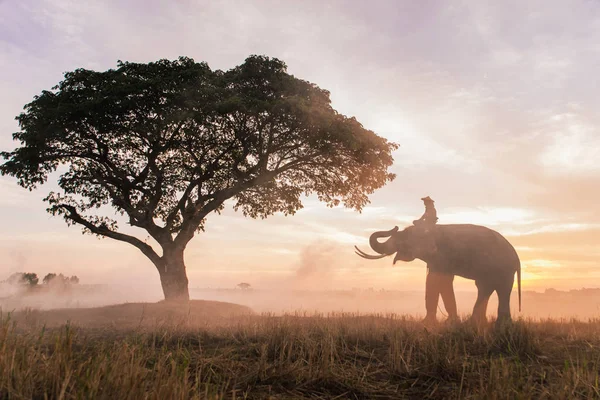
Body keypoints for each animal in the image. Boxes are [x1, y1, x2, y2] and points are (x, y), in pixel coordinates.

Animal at [356, 223, 520, 324]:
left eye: (402, 240)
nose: (395, 227)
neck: (430, 229)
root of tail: (516, 257)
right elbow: (433, 281)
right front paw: (432, 322)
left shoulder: (443, 256)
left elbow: (440, 280)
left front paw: (446, 323)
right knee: (485, 288)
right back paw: (477, 322)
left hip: (504, 268)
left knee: (502, 289)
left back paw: (500, 324)